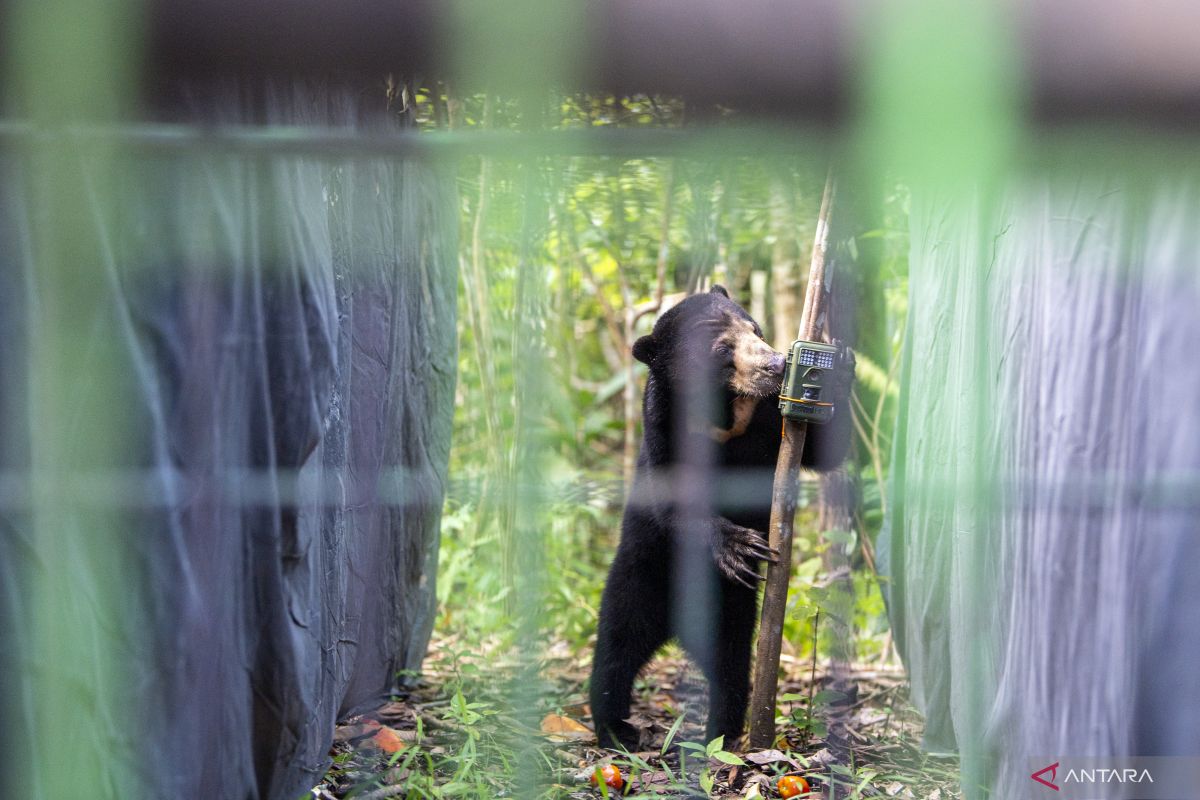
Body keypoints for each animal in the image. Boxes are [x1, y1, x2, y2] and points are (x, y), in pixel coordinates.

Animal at [585, 286, 849, 753]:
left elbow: (823, 451)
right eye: (722, 349)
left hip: (729, 610)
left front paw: (842, 364)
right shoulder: (662, 427)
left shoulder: (767, 418)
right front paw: (738, 545)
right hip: (639, 579)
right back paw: (616, 729)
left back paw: (721, 734)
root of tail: (677, 623)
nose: (776, 364)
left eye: (756, 330)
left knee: (729, 668)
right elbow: (674, 500)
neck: (723, 412)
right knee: (617, 650)